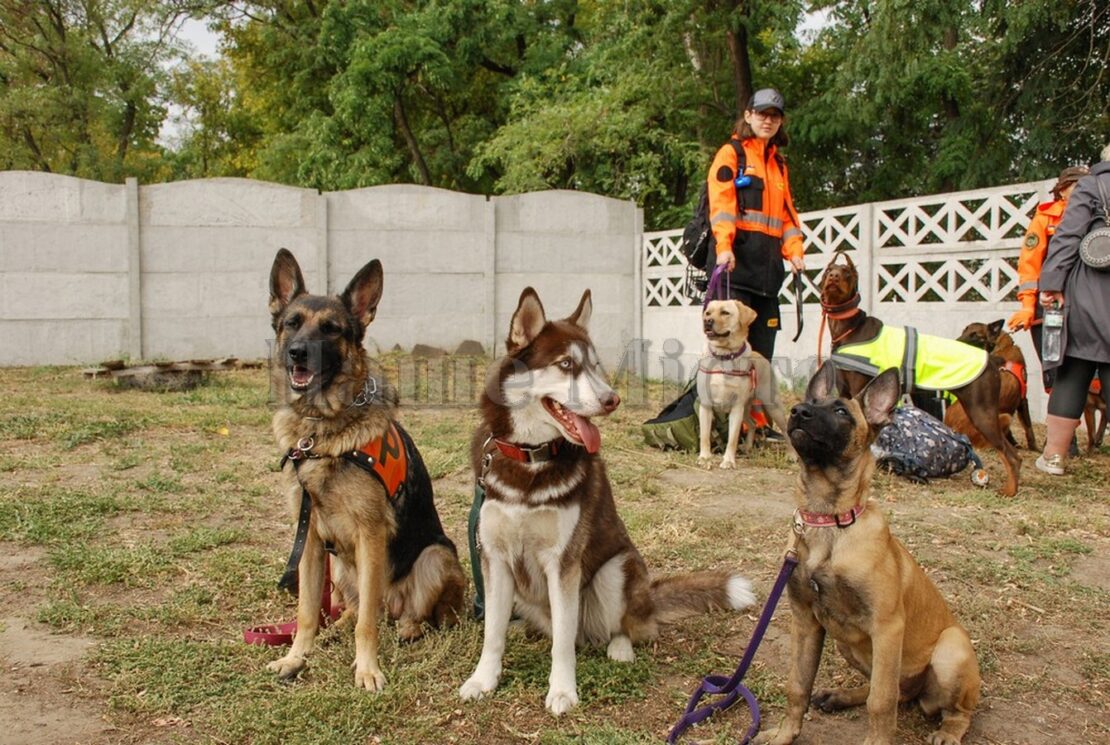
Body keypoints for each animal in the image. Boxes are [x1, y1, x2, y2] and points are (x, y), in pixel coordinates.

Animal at [267, 247, 463, 692]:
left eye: (332, 329)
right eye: (292, 323)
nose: (298, 352)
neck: (320, 431)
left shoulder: (370, 534)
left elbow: (368, 625)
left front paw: (367, 670)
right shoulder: (309, 539)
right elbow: (307, 612)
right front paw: (296, 658)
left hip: (436, 556)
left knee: (400, 612)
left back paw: (407, 627)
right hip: (339, 568)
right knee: (353, 609)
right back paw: (337, 626)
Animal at [457, 286, 754, 715]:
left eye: (595, 366)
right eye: (566, 364)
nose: (612, 399)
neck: (531, 458)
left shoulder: (563, 563)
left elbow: (564, 642)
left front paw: (563, 690)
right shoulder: (494, 558)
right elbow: (491, 634)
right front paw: (483, 679)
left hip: (616, 570)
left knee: (623, 627)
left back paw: (620, 648)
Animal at [697, 299, 794, 468]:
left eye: (725, 312)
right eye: (708, 313)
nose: (707, 321)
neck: (723, 356)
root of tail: (761, 356)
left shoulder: (736, 408)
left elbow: (732, 438)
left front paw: (728, 461)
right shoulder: (706, 405)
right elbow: (704, 436)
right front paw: (704, 458)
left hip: (772, 406)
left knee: (786, 431)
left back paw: (792, 455)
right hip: (746, 408)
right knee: (753, 423)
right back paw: (748, 447)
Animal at [754, 366, 981, 745]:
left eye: (841, 411)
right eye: (811, 401)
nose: (798, 411)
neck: (829, 520)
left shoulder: (887, 628)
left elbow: (881, 701)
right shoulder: (806, 620)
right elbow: (797, 684)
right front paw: (785, 734)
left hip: (950, 651)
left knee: (953, 710)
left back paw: (948, 732)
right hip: (848, 643)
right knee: (896, 691)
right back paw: (841, 696)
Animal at [945, 319, 1038, 448]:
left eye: (975, 335)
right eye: (964, 331)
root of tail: (954, 430)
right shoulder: (1022, 399)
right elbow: (1029, 428)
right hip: (1005, 417)